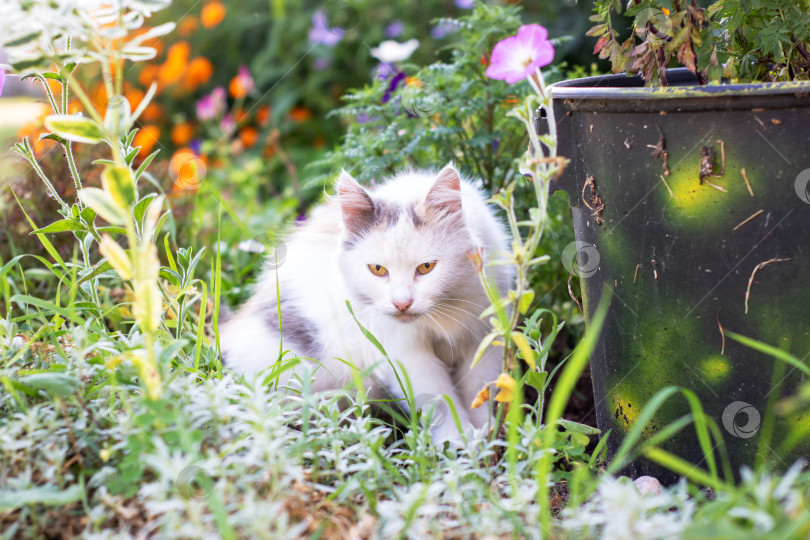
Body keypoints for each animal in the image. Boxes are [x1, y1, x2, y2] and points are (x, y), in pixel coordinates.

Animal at [219, 166, 512, 442]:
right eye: (378, 270)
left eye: (426, 267)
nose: (402, 303)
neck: (442, 317)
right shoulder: (406, 355)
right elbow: (439, 402)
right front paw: (457, 443)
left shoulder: (485, 338)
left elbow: (479, 391)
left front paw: (486, 438)